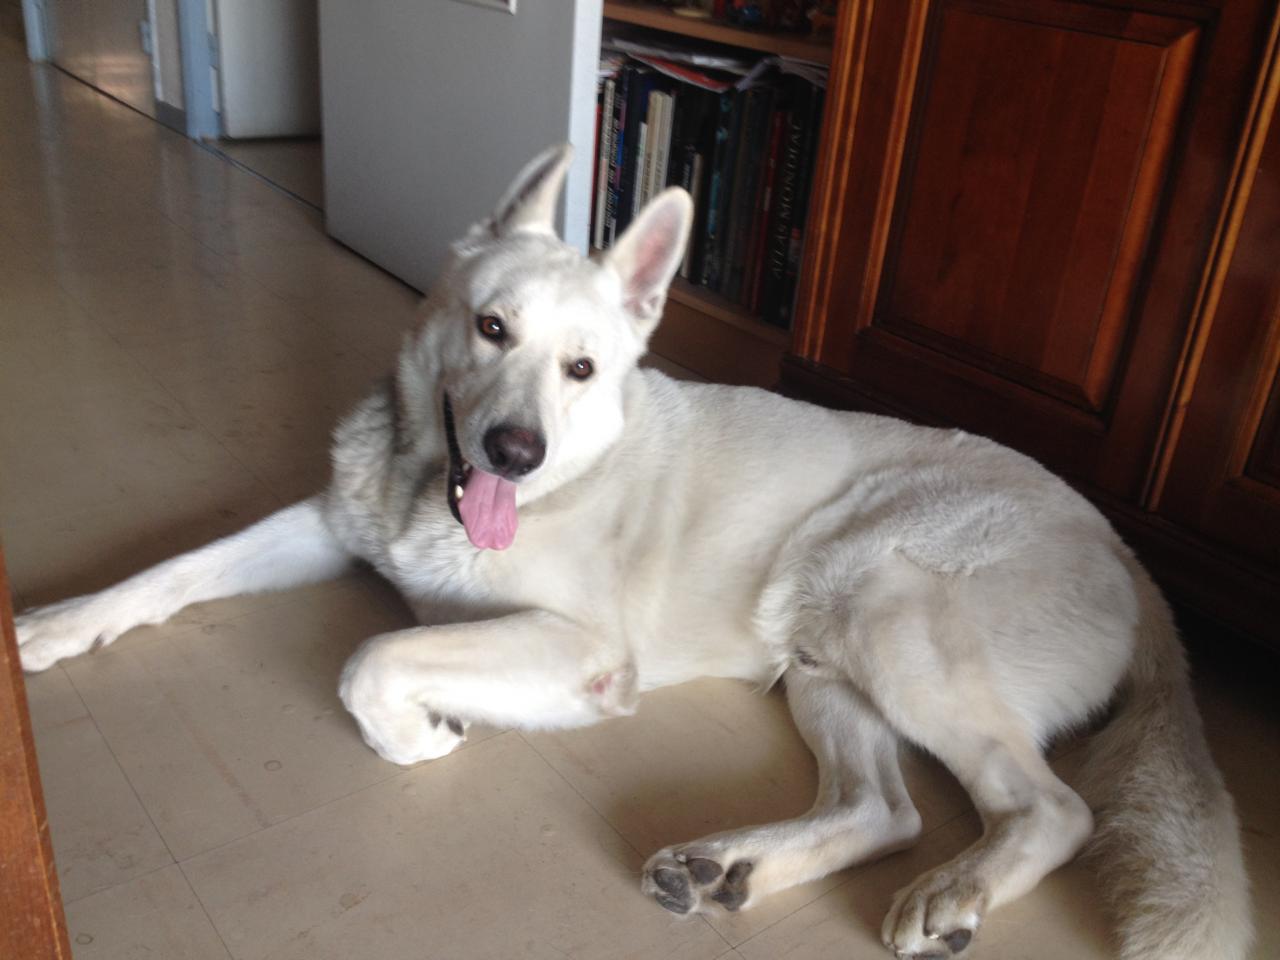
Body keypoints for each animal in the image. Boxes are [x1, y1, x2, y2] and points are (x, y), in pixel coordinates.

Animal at [17, 144, 1249, 960]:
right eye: (491, 329)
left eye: (582, 369)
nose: (512, 451)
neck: (442, 493)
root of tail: (1128, 556)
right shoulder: (326, 522)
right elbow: (173, 569)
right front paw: (57, 622)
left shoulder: (579, 650)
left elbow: (370, 661)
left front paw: (417, 735)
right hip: (821, 651)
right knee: (883, 809)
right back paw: (733, 867)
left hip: (886, 612)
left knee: (1049, 809)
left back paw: (952, 892)